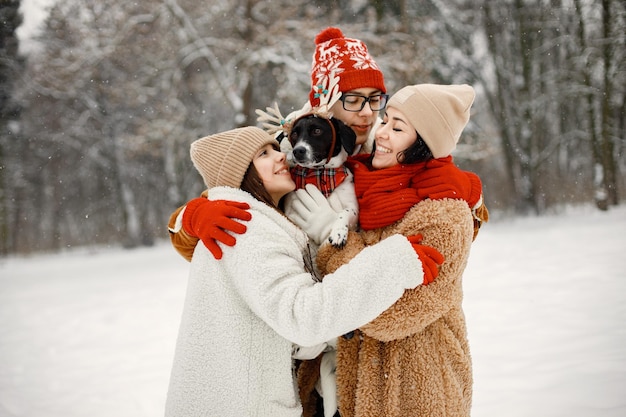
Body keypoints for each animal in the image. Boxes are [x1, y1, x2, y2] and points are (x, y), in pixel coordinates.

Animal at [282, 112, 356, 245]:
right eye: (294, 134)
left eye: (317, 130)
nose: (297, 151)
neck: (320, 173)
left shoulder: (353, 208)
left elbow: (344, 212)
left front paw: (339, 232)